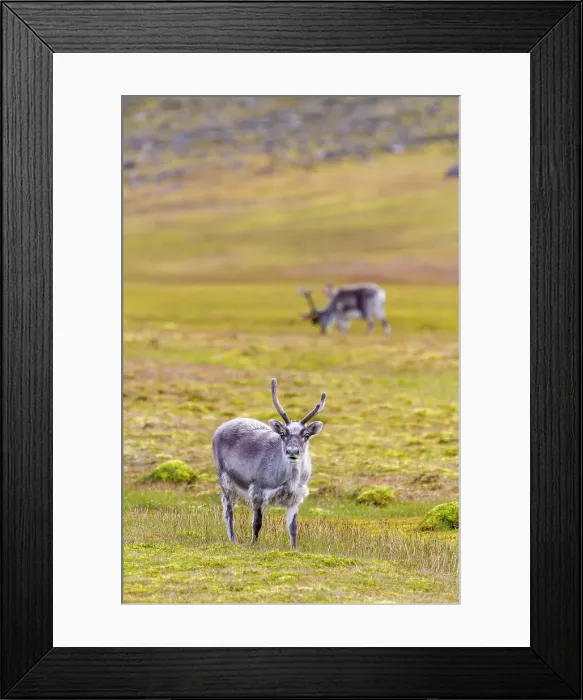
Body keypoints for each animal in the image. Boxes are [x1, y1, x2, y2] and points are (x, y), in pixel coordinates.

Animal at [212, 378, 326, 549]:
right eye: (283, 434)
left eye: (306, 434)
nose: (292, 451)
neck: (289, 479)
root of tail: (221, 428)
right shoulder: (258, 491)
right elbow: (256, 523)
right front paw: (253, 544)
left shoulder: (296, 497)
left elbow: (293, 528)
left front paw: (294, 548)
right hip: (225, 479)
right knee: (228, 510)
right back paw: (233, 539)